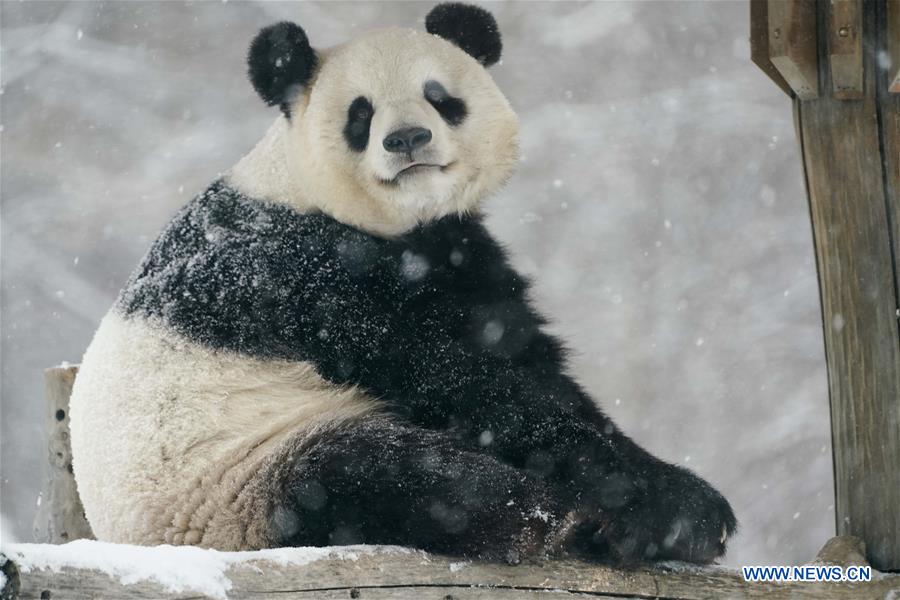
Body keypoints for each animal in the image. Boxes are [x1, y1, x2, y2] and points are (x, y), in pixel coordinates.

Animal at [68, 2, 732, 564]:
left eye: (439, 97)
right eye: (359, 114)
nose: (407, 139)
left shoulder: (455, 251)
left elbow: (522, 359)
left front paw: (682, 512)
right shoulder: (312, 277)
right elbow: (470, 382)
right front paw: (673, 509)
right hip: (237, 470)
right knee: (382, 476)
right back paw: (549, 519)